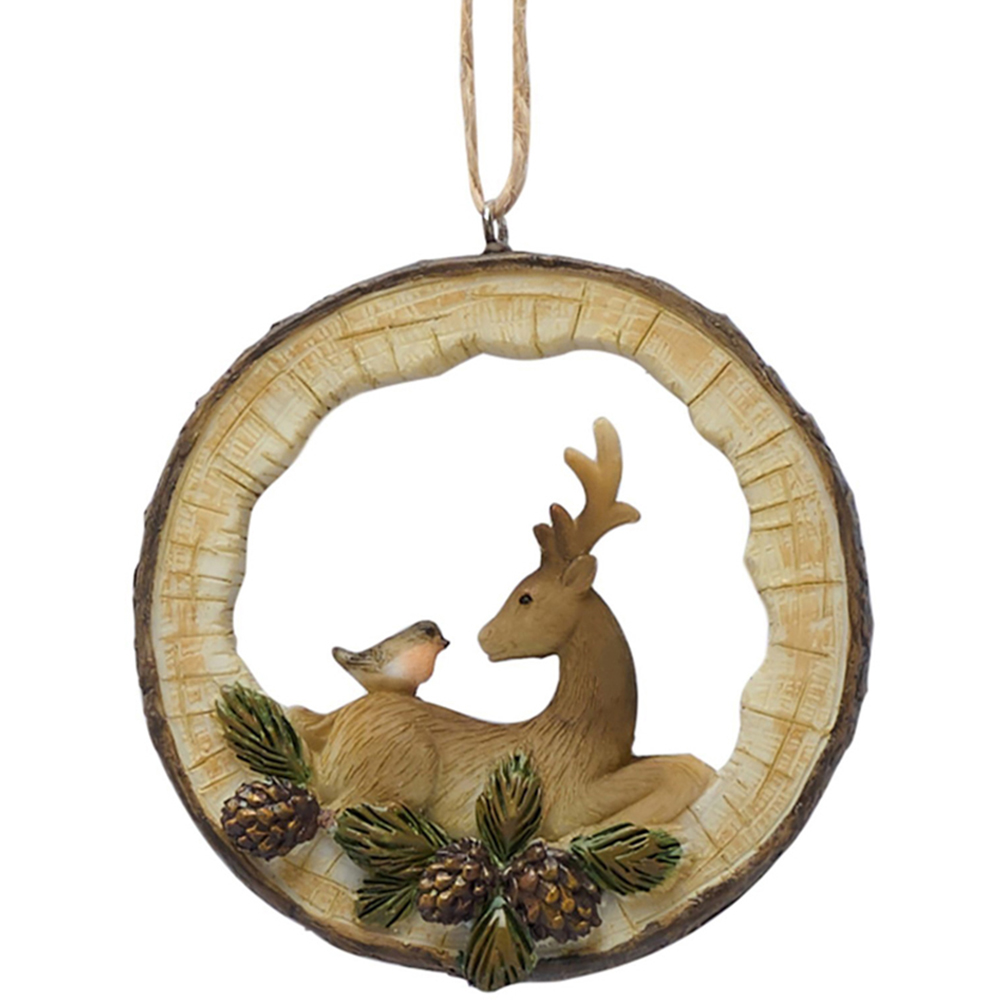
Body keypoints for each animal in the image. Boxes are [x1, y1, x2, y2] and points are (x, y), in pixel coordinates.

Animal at [288, 419, 715, 839]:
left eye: (526, 597)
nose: (483, 636)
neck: (589, 741)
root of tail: (336, 722)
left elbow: (689, 764)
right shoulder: (570, 799)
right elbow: (686, 769)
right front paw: (600, 831)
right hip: (399, 766)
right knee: (339, 807)